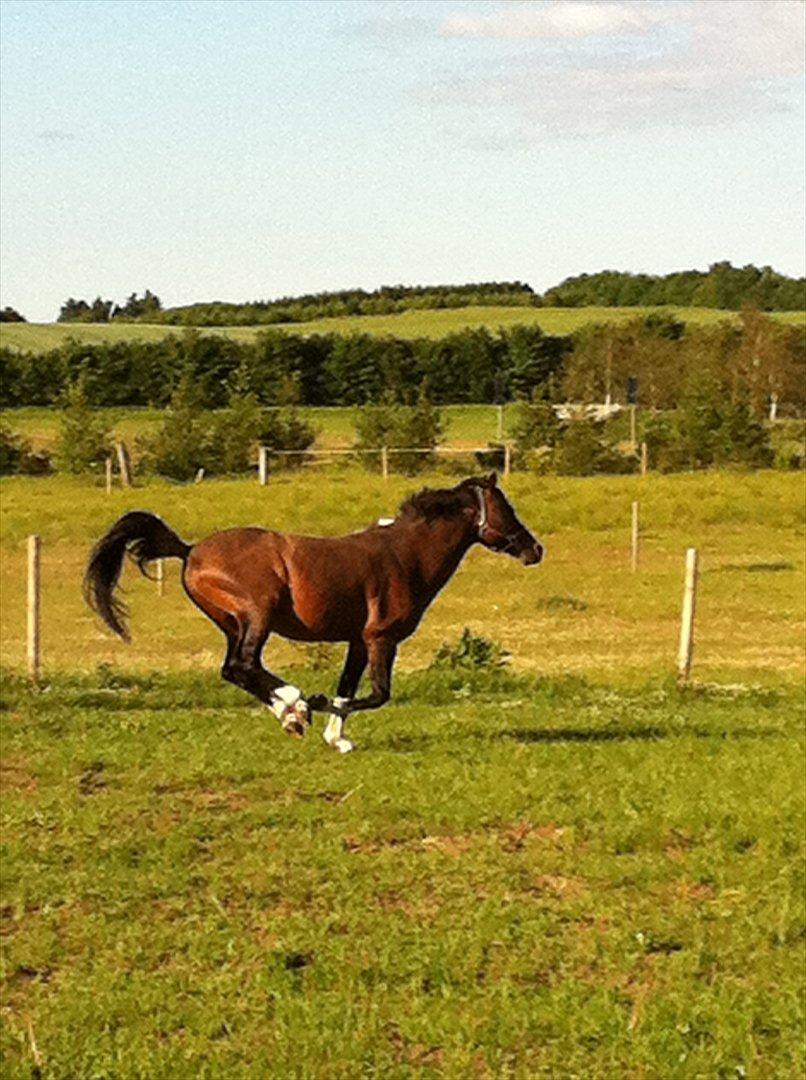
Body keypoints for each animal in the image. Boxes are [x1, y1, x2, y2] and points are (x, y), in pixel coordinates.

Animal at [84, 473, 543, 752]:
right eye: (507, 510)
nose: (535, 549)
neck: (405, 557)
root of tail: (190, 549)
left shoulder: (358, 640)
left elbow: (348, 688)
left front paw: (337, 738)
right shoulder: (381, 638)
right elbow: (378, 694)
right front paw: (316, 705)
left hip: (234, 624)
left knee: (236, 669)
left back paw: (291, 714)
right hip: (257, 614)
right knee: (242, 665)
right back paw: (296, 703)